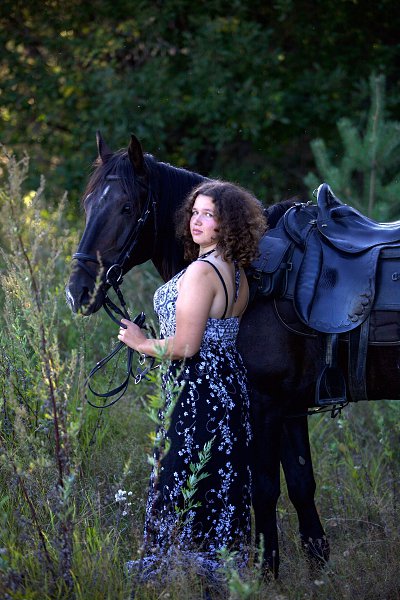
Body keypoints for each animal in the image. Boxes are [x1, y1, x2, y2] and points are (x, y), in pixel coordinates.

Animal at [66, 133, 400, 576]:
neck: (257, 271)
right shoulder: (291, 408)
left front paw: (264, 572)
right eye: (88, 205)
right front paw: (317, 570)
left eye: (126, 207)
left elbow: (264, 489)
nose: (78, 291)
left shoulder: (264, 405)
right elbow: (301, 485)